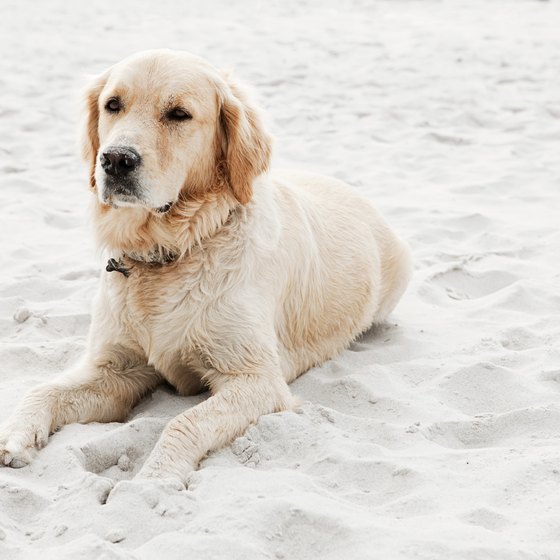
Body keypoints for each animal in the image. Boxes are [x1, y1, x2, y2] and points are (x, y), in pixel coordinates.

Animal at [0, 49, 412, 486]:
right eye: (113, 105)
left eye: (179, 114)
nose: (114, 159)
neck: (172, 251)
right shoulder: (115, 367)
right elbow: (44, 389)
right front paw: (15, 435)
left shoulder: (256, 380)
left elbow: (182, 422)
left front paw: (154, 479)